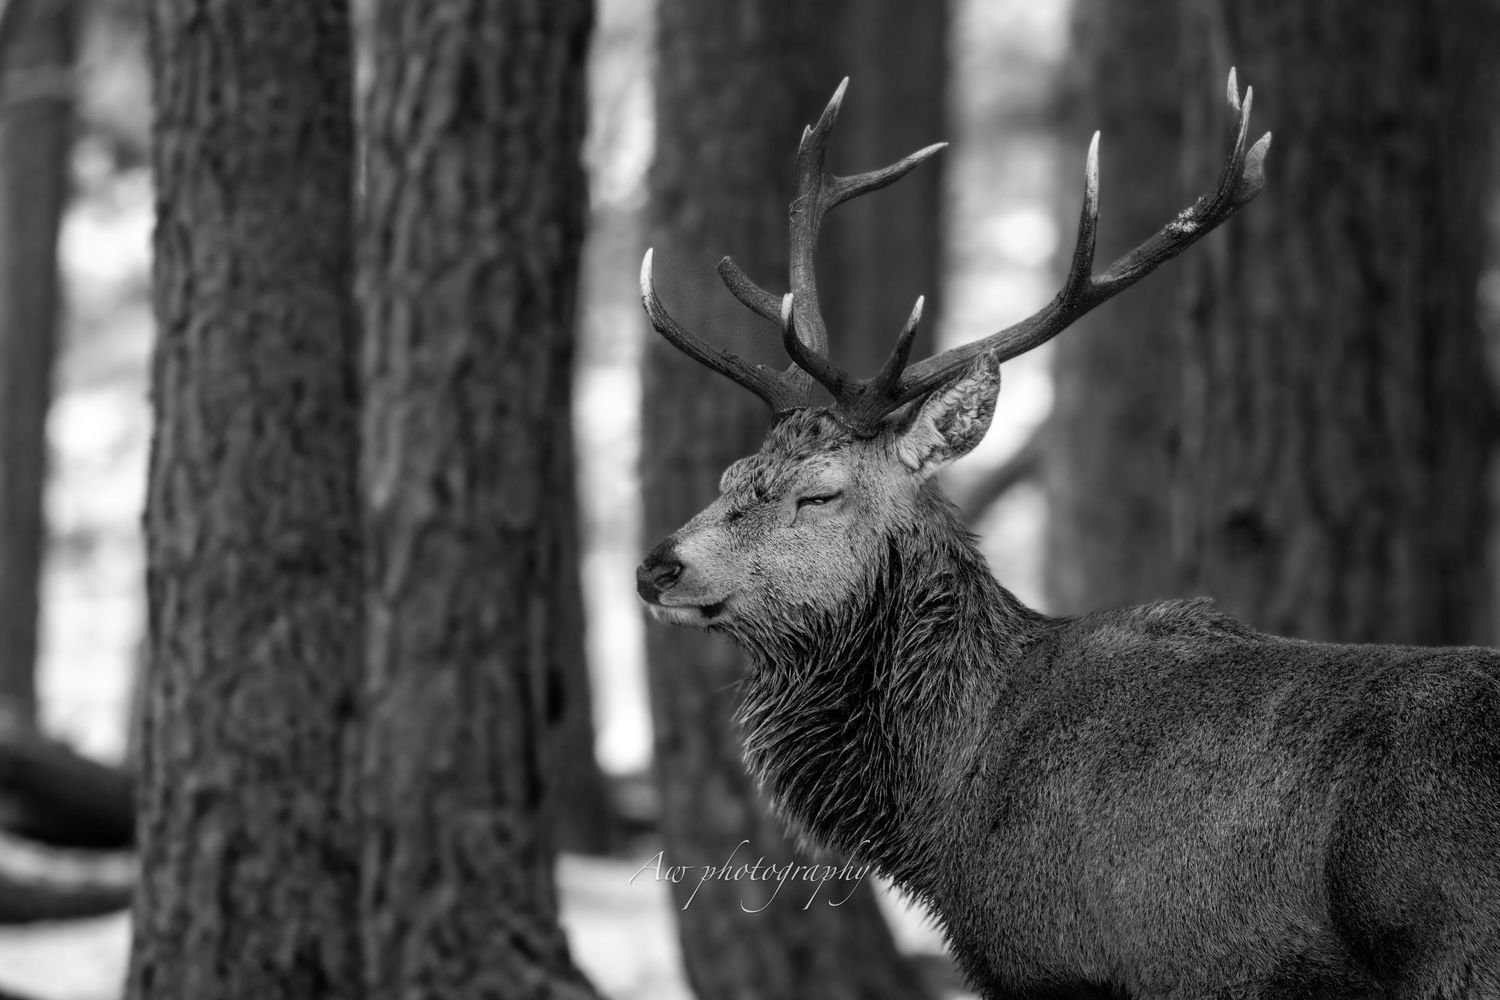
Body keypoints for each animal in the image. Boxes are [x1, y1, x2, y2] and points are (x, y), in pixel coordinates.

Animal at [635, 71, 1500, 1000]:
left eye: (819, 494)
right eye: (730, 476)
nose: (655, 567)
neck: (943, 809)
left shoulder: (1058, 957)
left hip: (1457, 948)